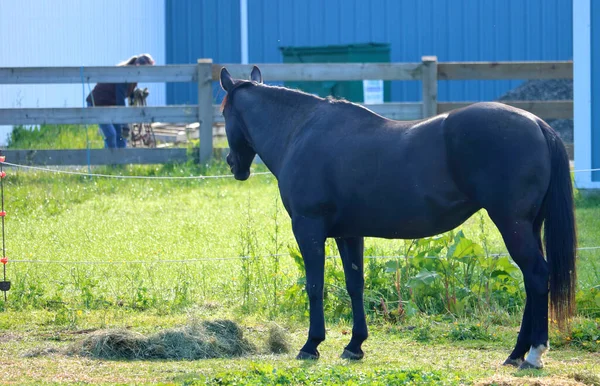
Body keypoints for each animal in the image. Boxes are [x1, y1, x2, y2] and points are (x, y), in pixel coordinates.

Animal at [219, 65, 576, 370]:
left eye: (223, 112)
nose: (232, 164)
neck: (301, 130)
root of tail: (536, 123)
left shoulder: (309, 229)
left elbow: (314, 285)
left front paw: (311, 345)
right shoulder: (349, 234)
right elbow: (355, 285)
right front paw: (355, 345)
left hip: (512, 225)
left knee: (536, 275)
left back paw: (533, 353)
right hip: (529, 226)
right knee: (532, 280)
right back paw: (516, 353)